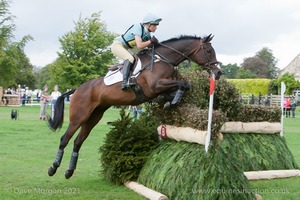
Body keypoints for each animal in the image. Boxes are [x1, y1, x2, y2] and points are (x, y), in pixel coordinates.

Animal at [46, 33, 220, 179]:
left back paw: (69, 171)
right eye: (209, 51)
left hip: (94, 117)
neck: (164, 59)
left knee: (77, 141)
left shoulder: (162, 88)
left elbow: (184, 86)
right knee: (64, 139)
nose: (218, 73)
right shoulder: (155, 86)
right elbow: (183, 84)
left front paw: (170, 101)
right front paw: (173, 101)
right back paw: (53, 168)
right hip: (79, 116)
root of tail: (77, 89)